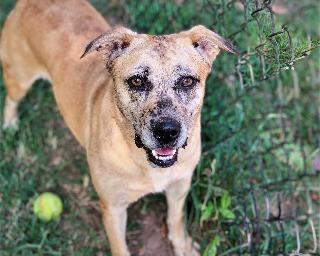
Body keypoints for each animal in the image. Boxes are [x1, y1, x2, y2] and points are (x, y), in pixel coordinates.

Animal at [0, 1, 238, 255]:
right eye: (137, 81)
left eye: (187, 81)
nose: (167, 132)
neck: (146, 163)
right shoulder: (113, 208)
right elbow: (120, 247)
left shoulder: (179, 186)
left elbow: (175, 219)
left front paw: (182, 245)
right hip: (19, 77)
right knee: (11, 98)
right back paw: (10, 123)